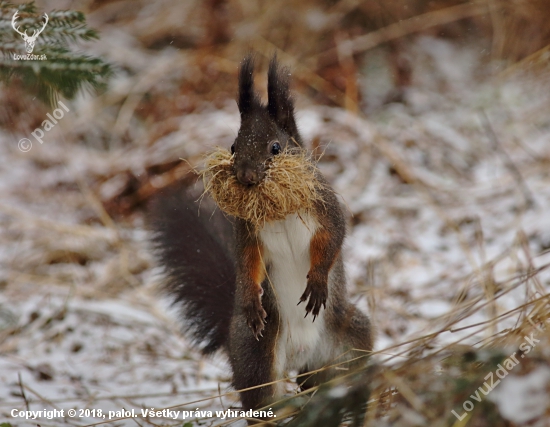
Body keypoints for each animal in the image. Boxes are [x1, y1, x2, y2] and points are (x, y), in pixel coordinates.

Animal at [151, 55, 376, 416]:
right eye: (233, 145)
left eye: (276, 147)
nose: (245, 175)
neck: (278, 210)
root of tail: (303, 357)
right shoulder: (247, 230)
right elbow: (248, 261)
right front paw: (252, 300)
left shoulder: (325, 207)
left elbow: (333, 238)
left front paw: (316, 281)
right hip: (256, 355)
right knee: (262, 399)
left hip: (352, 335)